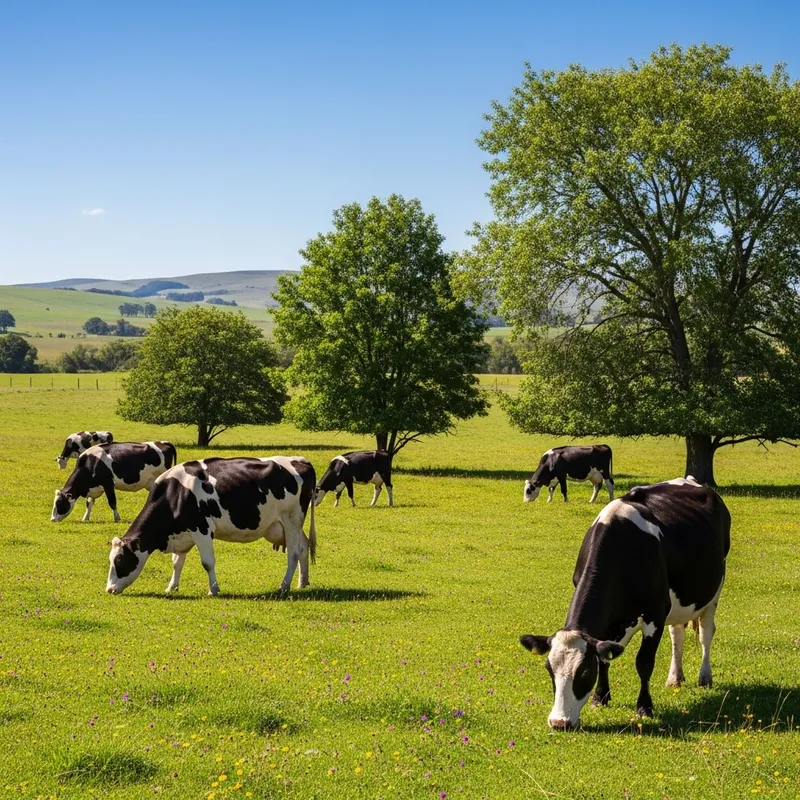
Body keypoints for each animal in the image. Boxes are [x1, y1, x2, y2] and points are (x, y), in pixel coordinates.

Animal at [105, 456, 317, 596]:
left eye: (120, 560)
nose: (109, 589)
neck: (176, 493)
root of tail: (301, 460)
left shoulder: (202, 529)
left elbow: (207, 562)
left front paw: (213, 590)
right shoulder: (183, 534)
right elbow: (177, 562)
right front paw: (171, 587)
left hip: (291, 520)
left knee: (294, 552)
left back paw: (284, 586)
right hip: (289, 525)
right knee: (304, 546)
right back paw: (302, 582)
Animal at [519, 477, 730, 729]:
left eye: (584, 672)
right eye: (549, 669)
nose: (559, 722)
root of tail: (690, 480)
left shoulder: (655, 614)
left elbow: (644, 662)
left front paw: (644, 708)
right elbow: (605, 658)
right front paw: (600, 698)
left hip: (715, 590)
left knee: (706, 634)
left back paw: (705, 677)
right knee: (677, 634)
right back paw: (674, 678)